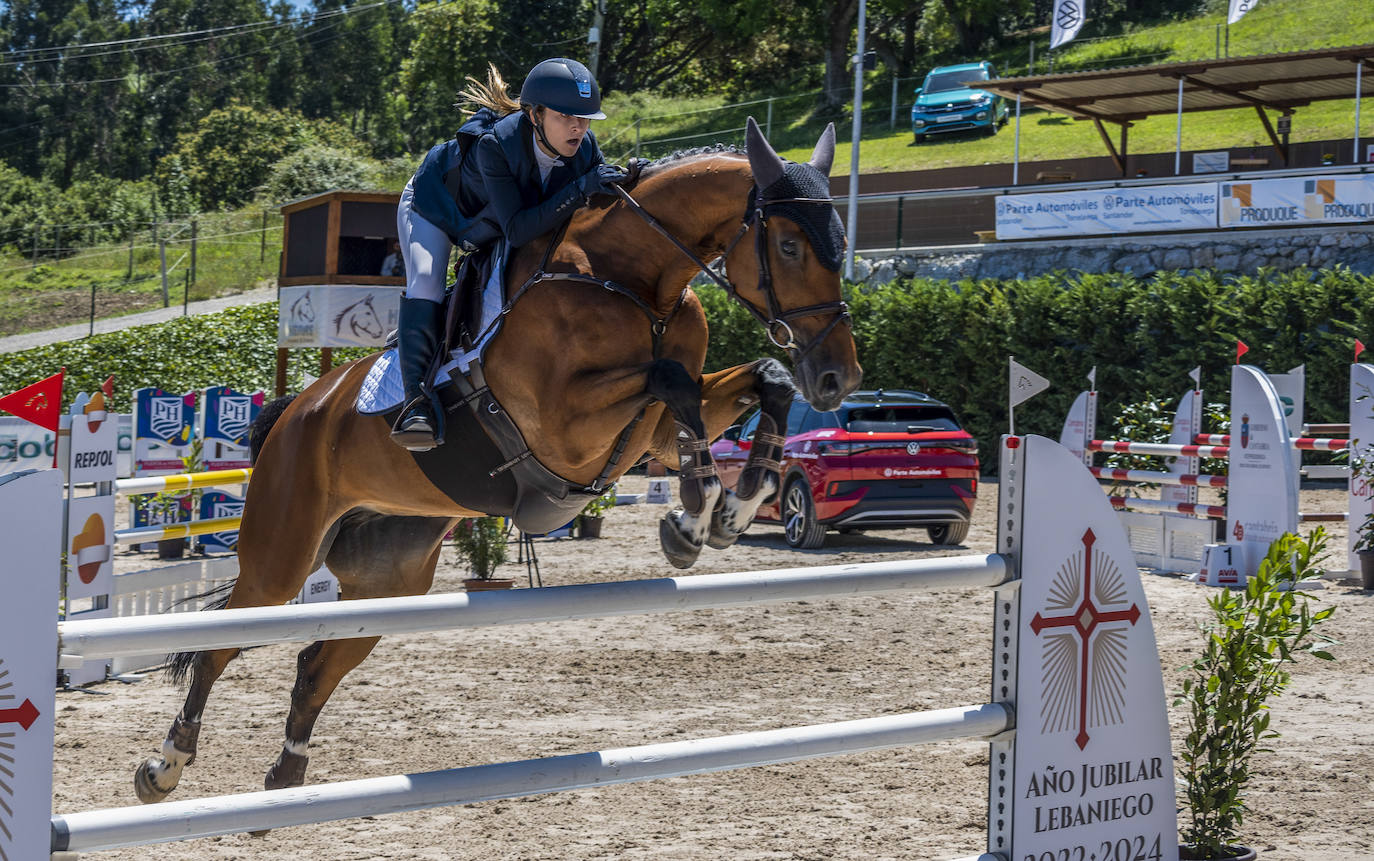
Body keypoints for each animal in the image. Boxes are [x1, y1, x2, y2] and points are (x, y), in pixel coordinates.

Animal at [136, 118, 857, 807]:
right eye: (789, 247)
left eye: (841, 241)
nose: (837, 378)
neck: (633, 279)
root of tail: (296, 410)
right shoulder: (567, 427)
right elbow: (671, 379)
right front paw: (692, 519)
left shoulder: (647, 434)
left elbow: (758, 382)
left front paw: (735, 506)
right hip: (281, 559)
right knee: (218, 647)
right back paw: (164, 767)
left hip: (390, 578)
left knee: (317, 663)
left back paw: (288, 770)